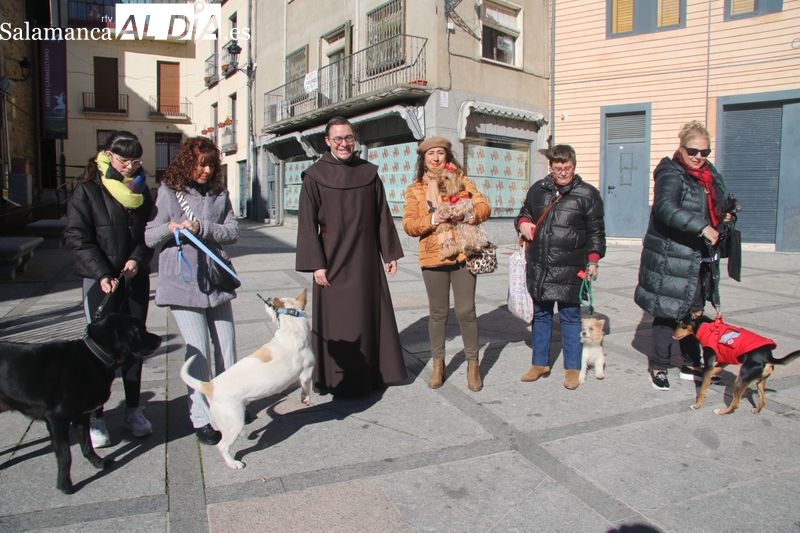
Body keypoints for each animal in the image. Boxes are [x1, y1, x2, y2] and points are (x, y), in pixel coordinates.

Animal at [0, 314, 161, 492]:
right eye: (138, 330)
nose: (159, 338)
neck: (94, 357)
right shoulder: (57, 421)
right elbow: (65, 456)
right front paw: (64, 485)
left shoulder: (81, 417)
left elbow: (87, 444)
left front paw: (98, 463)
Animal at [180, 288, 314, 468]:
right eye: (271, 305)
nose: (269, 297)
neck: (291, 325)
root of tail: (209, 386)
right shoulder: (307, 372)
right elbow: (306, 387)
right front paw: (305, 399)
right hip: (234, 421)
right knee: (222, 446)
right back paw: (233, 463)